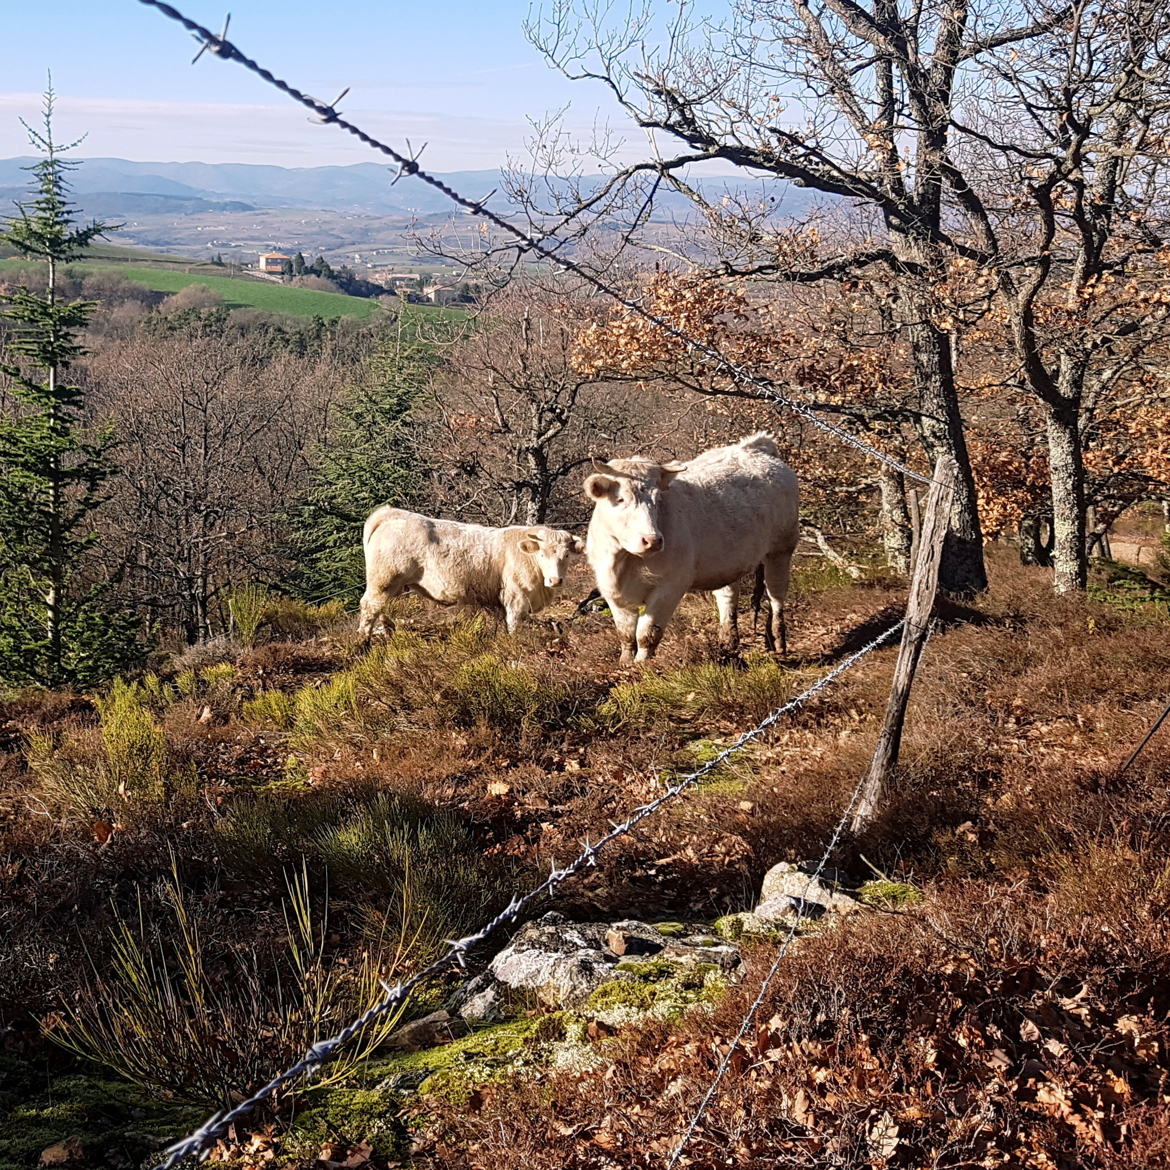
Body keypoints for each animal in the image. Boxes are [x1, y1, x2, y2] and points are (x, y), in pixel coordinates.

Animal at [358, 507, 582, 641]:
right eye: (542, 554)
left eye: (566, 555)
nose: (555, 580)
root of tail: (392, 513)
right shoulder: (516, 597)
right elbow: (513, 624)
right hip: (383, 581)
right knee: (370, 607)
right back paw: (363, 642)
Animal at [582, 435, 800, 664]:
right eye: (621, 499)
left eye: (658, 499)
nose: (652, 540)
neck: (623, 561)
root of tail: (755, 448)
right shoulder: (611, 590)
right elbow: (625, 633)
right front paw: (625, 663)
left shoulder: (670, 587)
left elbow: (647, 633)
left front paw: (642, 665)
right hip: (727, 563)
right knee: (728, 597)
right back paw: (728, 643)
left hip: (781, 549)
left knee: (776, 594)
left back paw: (778, 640)